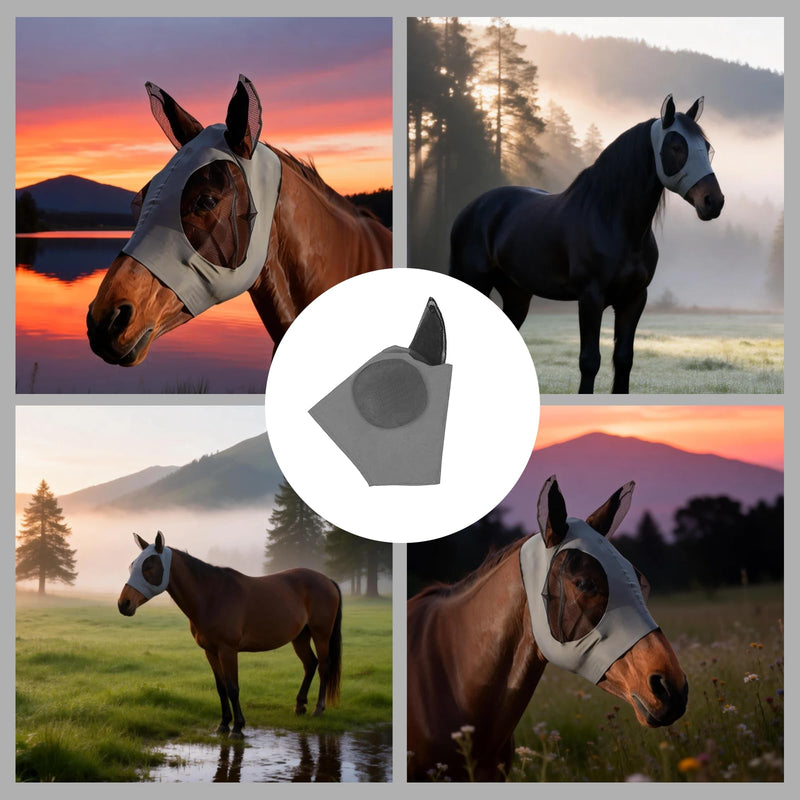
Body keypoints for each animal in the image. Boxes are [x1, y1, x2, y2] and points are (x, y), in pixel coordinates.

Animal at [117, 532, 342, 737]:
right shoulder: (210, 652)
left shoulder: (228, 651)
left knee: (323, 666)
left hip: (321, 634)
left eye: (149, 567)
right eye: (132, 566)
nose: (123, 604)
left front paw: (238, 727)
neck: (211, 597)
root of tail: (327, 580)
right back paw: (300, 706)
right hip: (300, 636)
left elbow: (233, 688)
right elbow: (221, 687)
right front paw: (224, 724)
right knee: (310, 664)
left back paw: (318, 709)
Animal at [449, 95, 724, 393]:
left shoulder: (634, 298)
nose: (714, 201)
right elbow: (590, 360)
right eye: (676, 147)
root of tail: (472, 208)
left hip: (517, 294)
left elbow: (624, 358)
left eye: (706, 148)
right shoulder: (591, 298)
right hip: (473, 281)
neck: (613, 221)